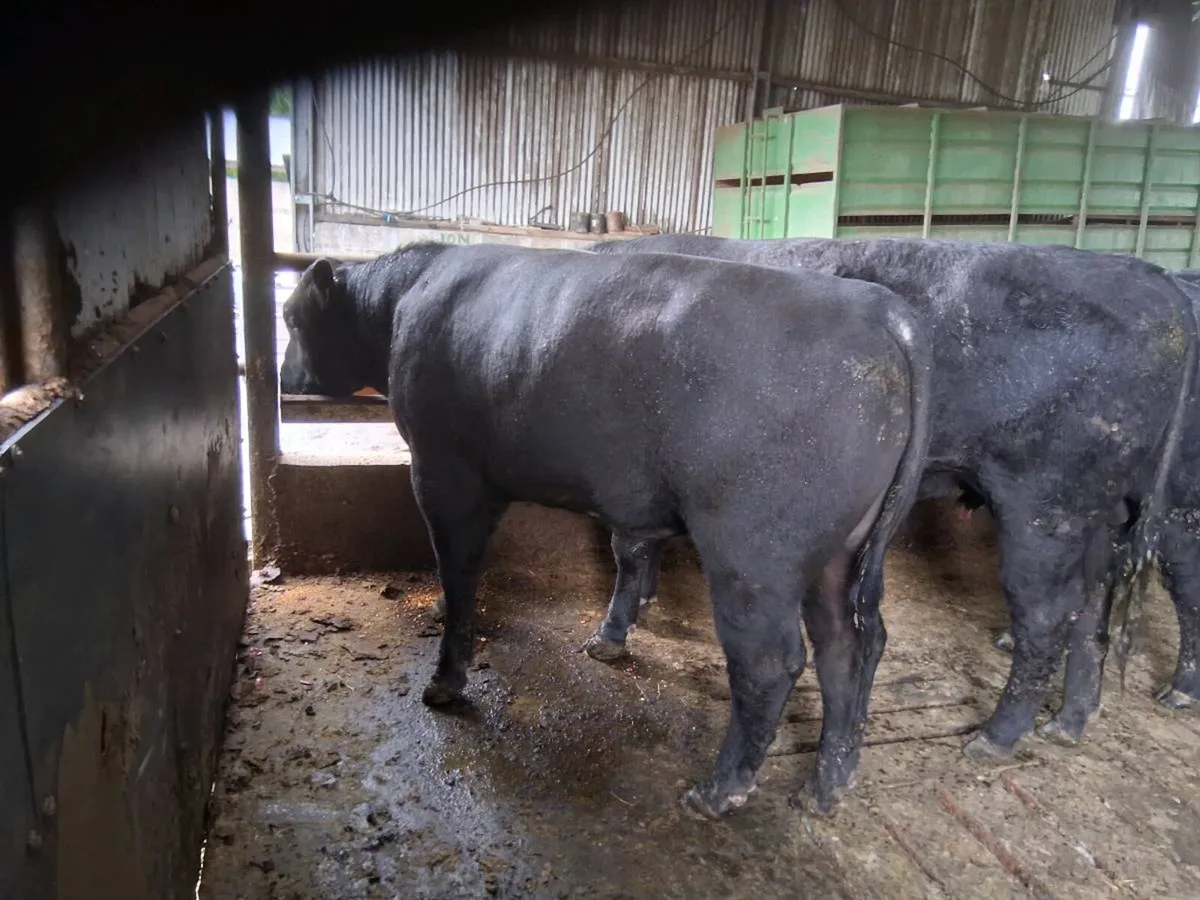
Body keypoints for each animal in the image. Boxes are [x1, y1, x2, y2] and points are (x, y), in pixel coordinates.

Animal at [278, 242, 933, 817]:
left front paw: (445, 679)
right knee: (848, 646)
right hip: (838, 554)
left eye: (290, 316)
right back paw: (828, 784)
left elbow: (459, 570)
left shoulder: (443, 473)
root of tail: (878, 308)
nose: (284, 376)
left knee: (770, 662)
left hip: (752, 552)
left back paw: (719, 791)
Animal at [565, 235, 1196, 763]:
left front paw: (611, 635)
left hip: (1054, 506)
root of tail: (1150, 278)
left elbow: (628, 549)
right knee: (1090, 605)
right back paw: (1069, 721)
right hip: (1096, 511)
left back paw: (1003, 736)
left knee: (1064, 610)